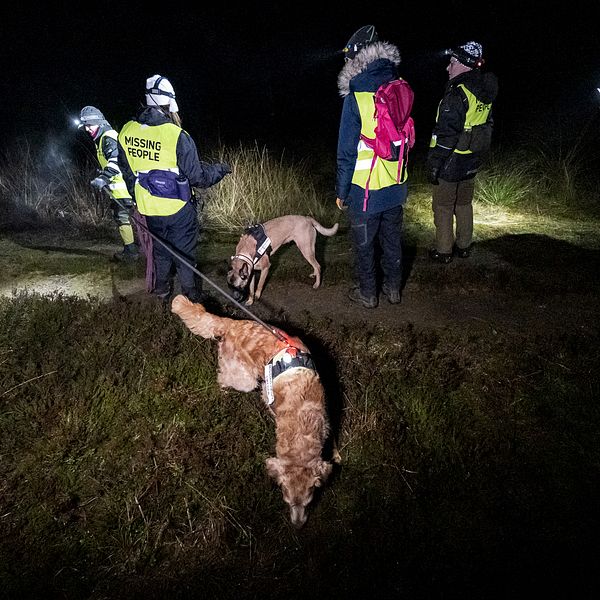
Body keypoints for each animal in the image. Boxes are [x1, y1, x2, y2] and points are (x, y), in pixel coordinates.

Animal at [171, 292, 336, 528]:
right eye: (286, 501)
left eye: (309, 502)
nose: (297, 526)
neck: (301, 420)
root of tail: (231, 324)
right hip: (245, 379)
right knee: (223, 377)